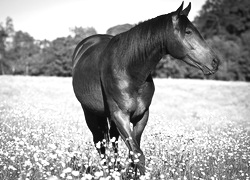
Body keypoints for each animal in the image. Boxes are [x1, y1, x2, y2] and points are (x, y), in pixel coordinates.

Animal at [72, 1, 219, 174]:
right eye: (188, 32)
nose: (215, 62)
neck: (129, 70)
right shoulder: (120, 116)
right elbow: (137, 154)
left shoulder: (141, 116)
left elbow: (133, 153)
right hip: (90, 113)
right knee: (99, 143)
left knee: (113, 143)